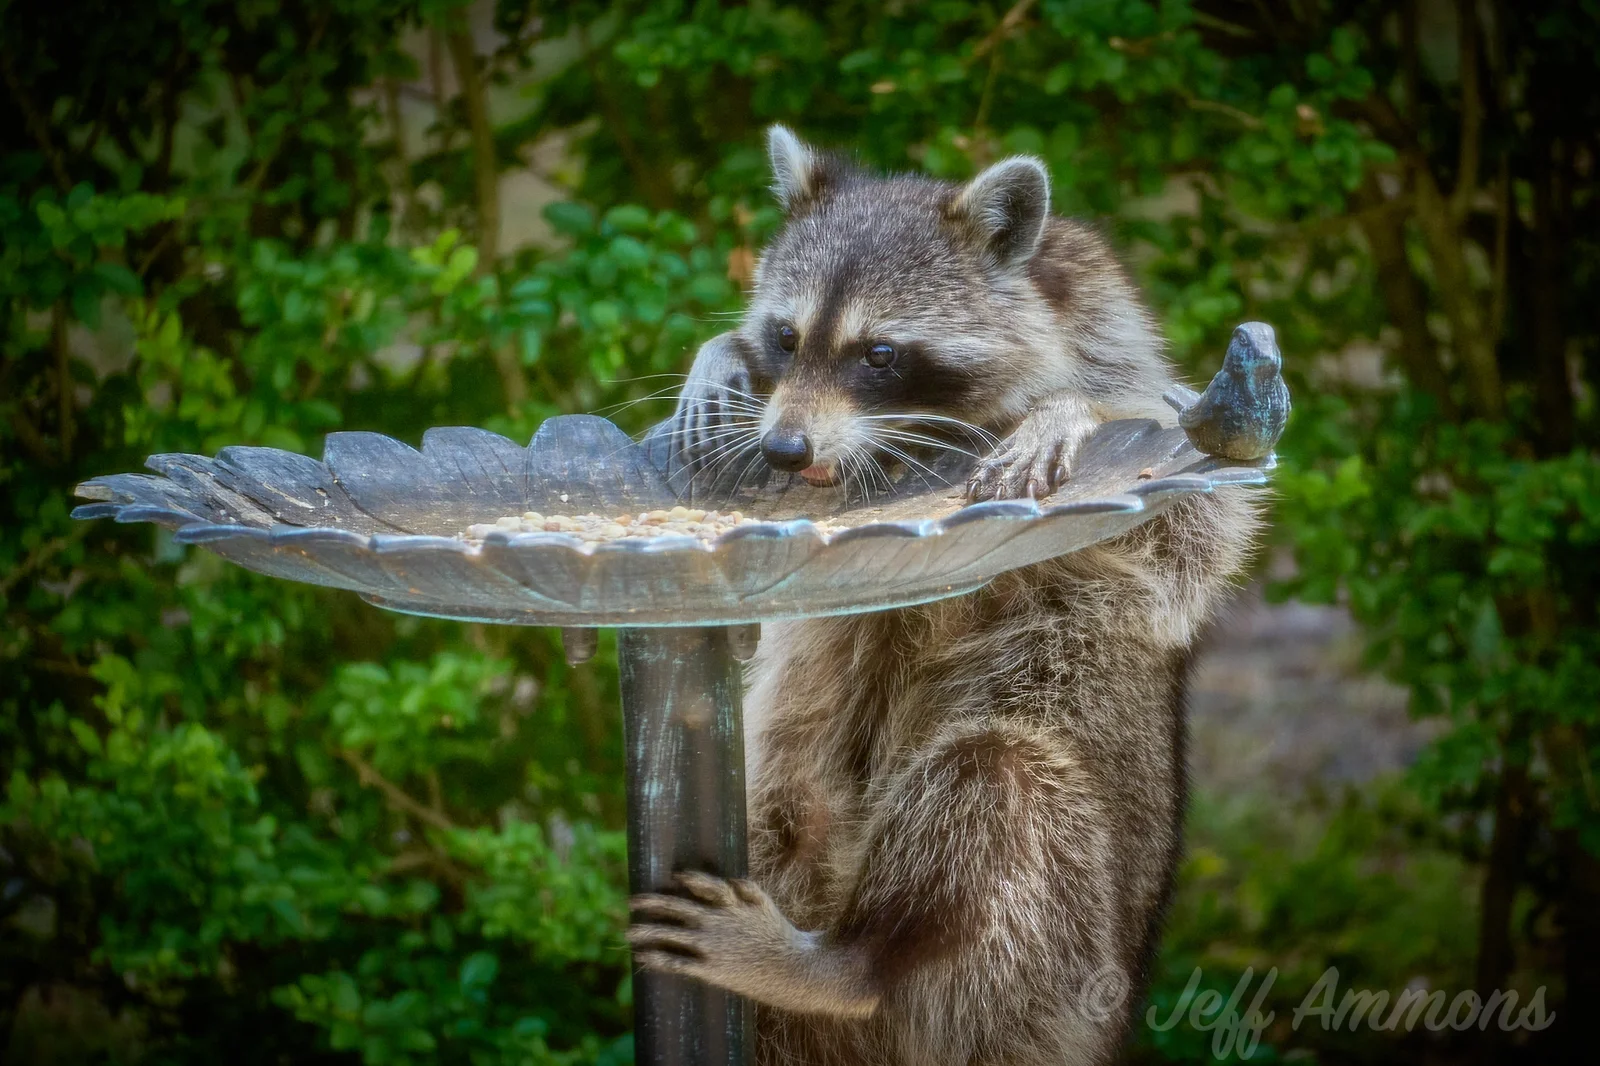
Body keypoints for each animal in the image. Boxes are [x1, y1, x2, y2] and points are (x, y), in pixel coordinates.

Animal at [626, 127, 1262, 1066]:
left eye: (879, 356)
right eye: (786, 337)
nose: (783, 449)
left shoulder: (1148, 397)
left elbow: (1194, 528)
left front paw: (1063, 413)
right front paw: (719, 358)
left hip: (1056, 955)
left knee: (994, 780)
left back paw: (853, 963)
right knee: (786, 789)